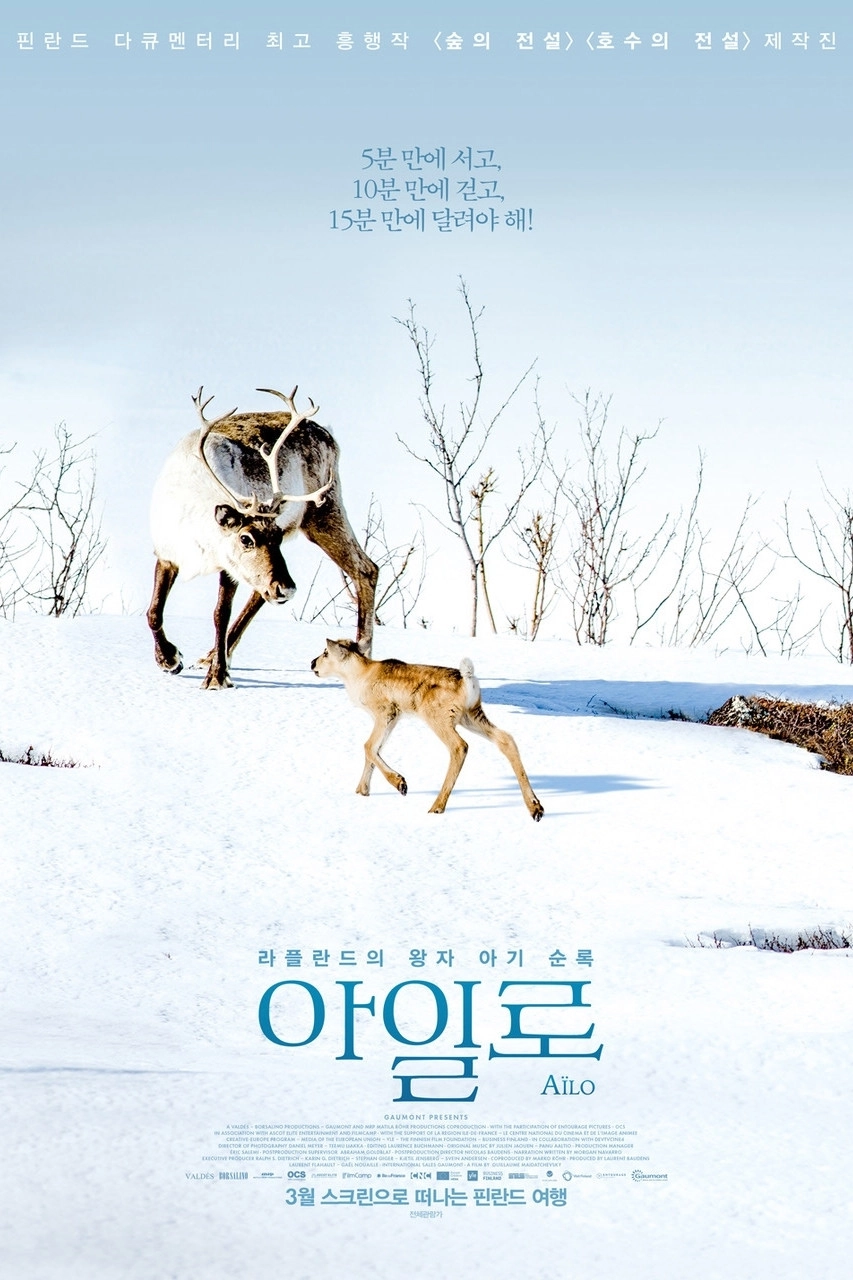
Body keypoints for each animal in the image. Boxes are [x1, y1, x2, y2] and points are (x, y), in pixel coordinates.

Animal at [148, 387, 378, 689]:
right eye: (246, 539)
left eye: (277, 535)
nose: (288, 589)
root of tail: (330, 436)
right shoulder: (166, 553)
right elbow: (154, 611)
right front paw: (170, 660)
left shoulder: (229, 566)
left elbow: (220, 614)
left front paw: (217, 678)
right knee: (262, 592)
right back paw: (209, 656)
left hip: (324, 510)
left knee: (366, 568)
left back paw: (362, 653)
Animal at [311, 639, 544, 820]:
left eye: (325, 652)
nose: (312, 663)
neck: (359, 676)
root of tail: (468, 679)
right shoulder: (393, 718)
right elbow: (375, 750)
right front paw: (362, 791)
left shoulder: (386, 712)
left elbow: (368, 746)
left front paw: (400, 784)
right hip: (472, 715)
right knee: (505, 739)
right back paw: (536, 808)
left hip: (438, 717)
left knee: (460, 746)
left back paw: (437, 806)